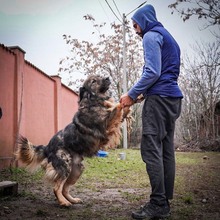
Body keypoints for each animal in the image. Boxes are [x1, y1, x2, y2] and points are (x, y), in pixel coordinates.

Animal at [15, 75, 132, 207]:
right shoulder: (107, 123)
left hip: (77, 169)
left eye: (100, 76)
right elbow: (118, 106)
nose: (107, 78)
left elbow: (122, 108)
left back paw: (72, 200)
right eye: (94, 81)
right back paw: (63, 202)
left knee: (65, 188)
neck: (93, 101)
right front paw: (120, 101)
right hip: (65, 165)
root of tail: (48, 147)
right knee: (57, 188)